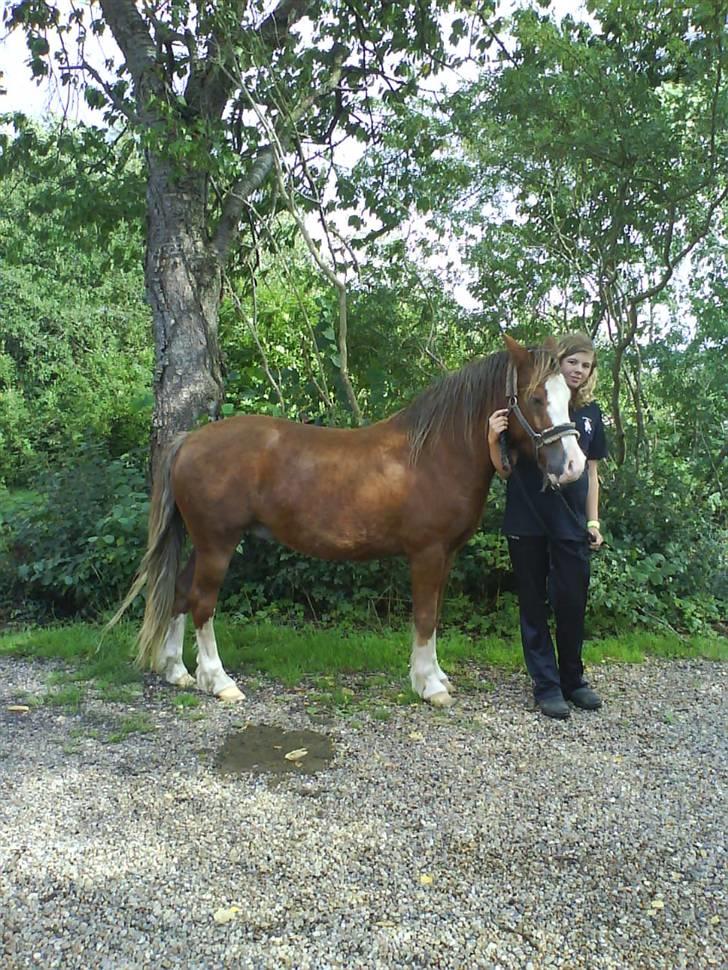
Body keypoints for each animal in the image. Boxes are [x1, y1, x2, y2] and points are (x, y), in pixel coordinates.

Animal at [108, 335, 585, 707]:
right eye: (536, 398)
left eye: (568, 398)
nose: (574, 465)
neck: (435, 452)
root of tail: (189, 440)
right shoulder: (426, 554)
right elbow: (424, 617)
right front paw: (429, 687)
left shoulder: (445, 555)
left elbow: (433, 616)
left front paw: (434, 676)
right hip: (218, 544)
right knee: (202, 603)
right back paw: (218, 681)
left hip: (204, 543)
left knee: (179, 593)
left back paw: (177, 671)